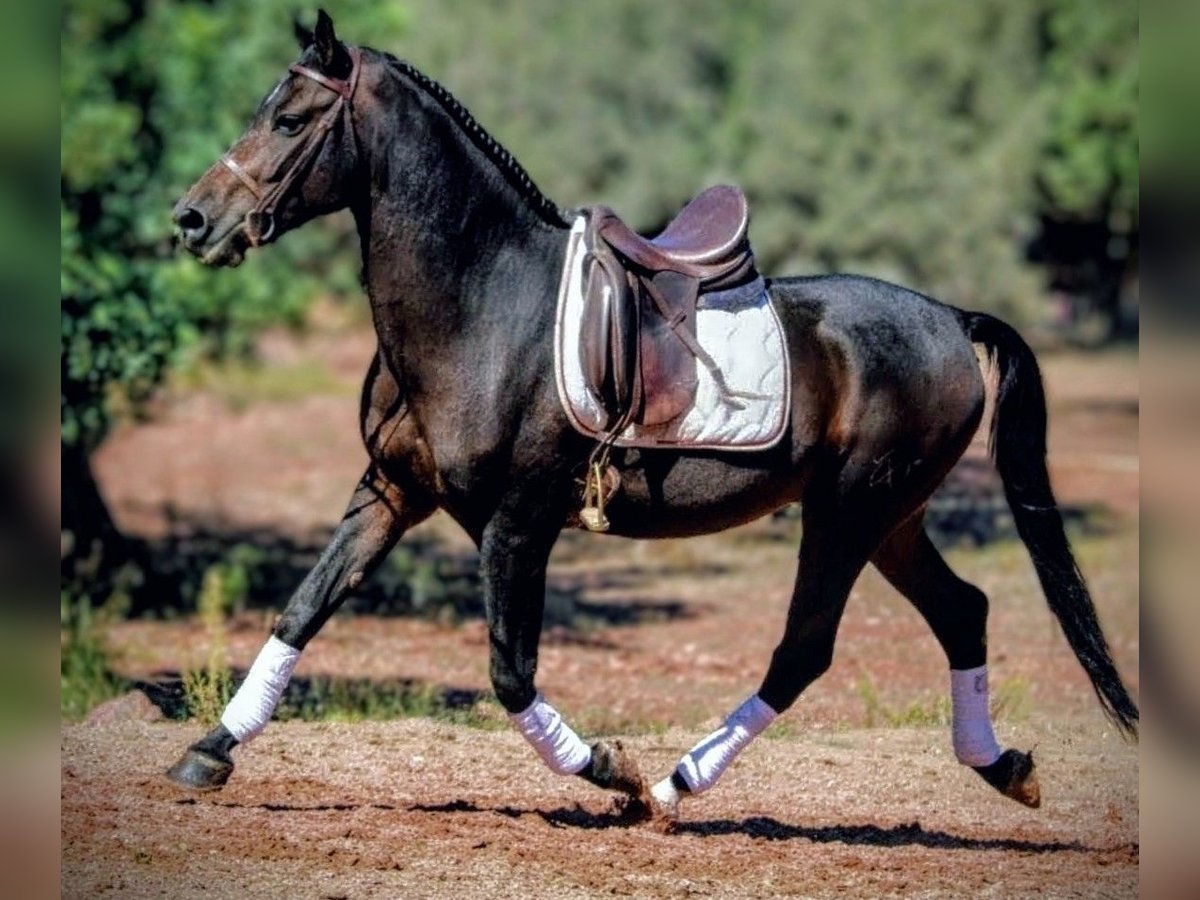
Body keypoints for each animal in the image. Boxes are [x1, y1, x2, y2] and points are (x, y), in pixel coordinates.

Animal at [165, 11, 1137, 815]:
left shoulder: (516, 524)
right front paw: (207, 752)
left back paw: (674, 786)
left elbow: (510, 673)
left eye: (291, 121)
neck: (481, 303)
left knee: (806, 650)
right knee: (962, 610)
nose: (192, 219)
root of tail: (950, 319)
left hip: (849, 512)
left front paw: (614, 772)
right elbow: (300, 612)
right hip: (891, 518)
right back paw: (1004, 767)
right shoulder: (391, 491)